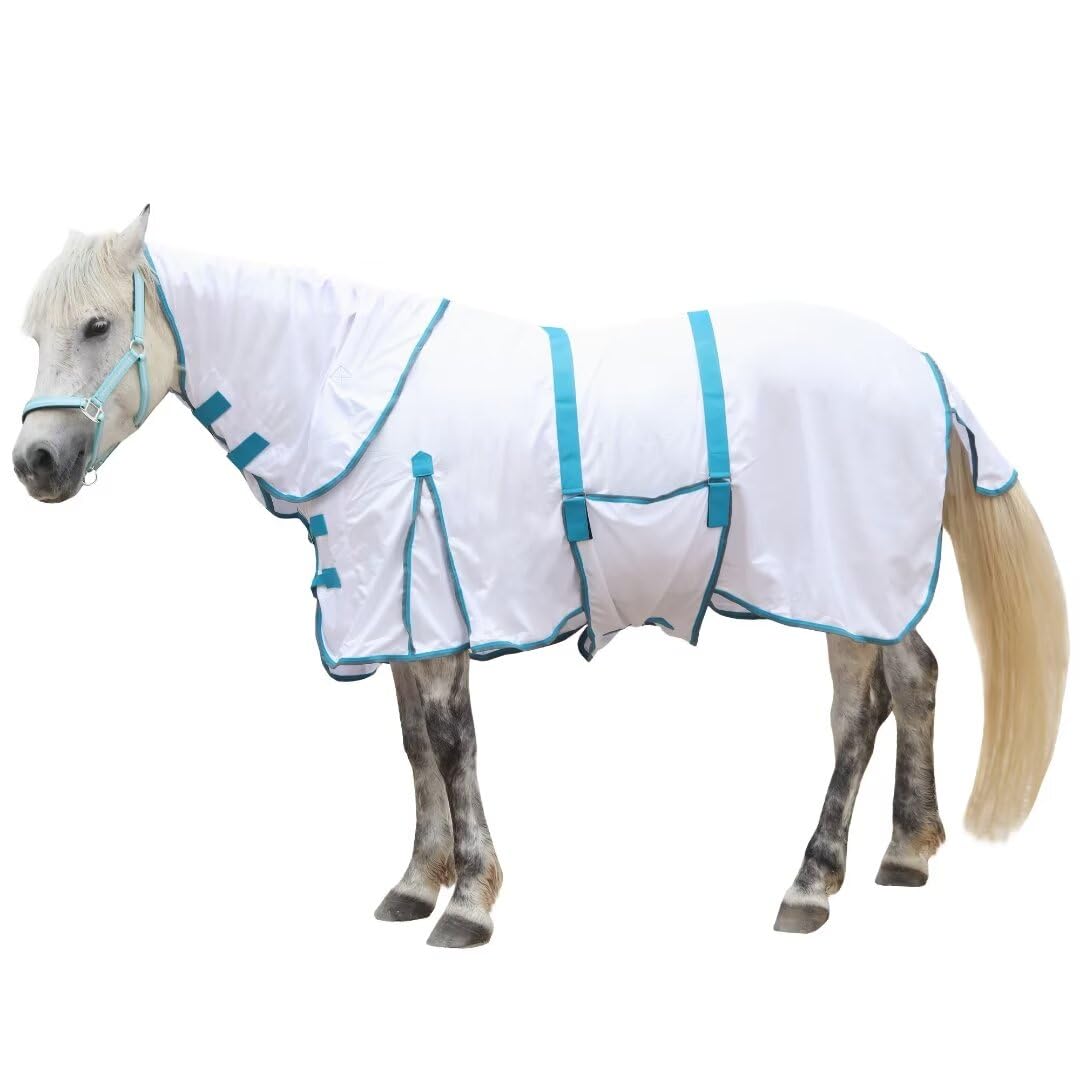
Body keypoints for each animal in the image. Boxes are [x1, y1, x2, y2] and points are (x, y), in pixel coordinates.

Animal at [11, 207, 1068, 947]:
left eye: (97, 325)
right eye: (34, 335)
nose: (35, 463)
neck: (347, 387)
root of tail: (923, 367)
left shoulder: (435, 600)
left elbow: (451, 744)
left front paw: (468, 903)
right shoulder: (405, 613)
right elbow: (414, 747)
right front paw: (417, 881)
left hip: (838, 585)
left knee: (858, 714)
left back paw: (811, 885)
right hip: (867, 589)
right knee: (917, 678)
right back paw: (906, 854)